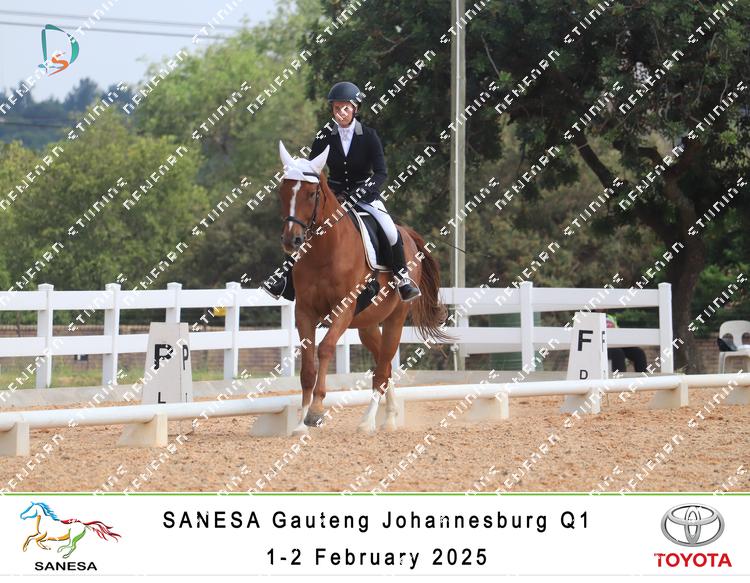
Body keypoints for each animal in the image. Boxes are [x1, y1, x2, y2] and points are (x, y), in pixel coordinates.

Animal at [276, 141, 452, 434]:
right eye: (283, 191)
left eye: (312, 194)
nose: (293, 240)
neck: (325, 251)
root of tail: (407, 234)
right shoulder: (304, 312)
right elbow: (308, 365)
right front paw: (301, 423)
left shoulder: (343, 308)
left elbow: (325, 349)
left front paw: (316, 410)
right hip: (367, 324)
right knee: (385, 364)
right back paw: (389, 417)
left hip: (395, 318)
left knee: (382, 370)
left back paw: (368, 421)